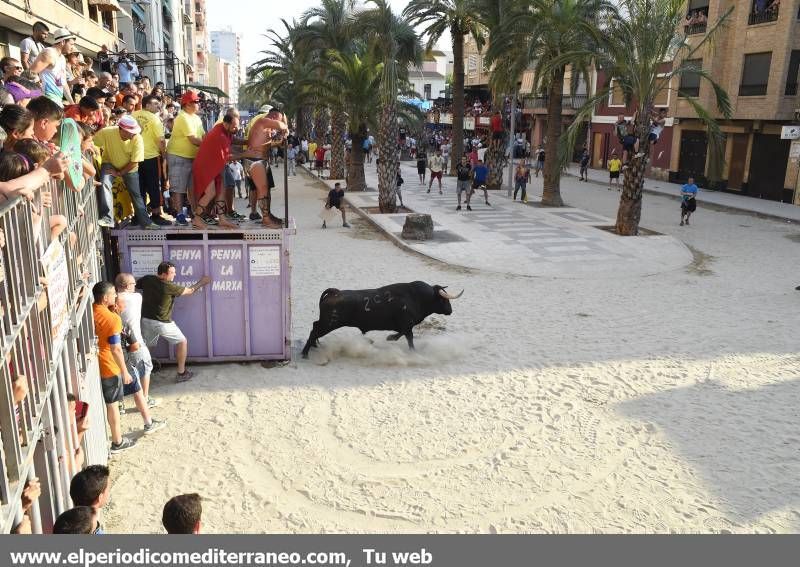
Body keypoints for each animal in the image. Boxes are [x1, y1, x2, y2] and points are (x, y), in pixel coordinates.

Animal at [300, 280, 462, 358]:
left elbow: (403, 334)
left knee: (314, 327)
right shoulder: (406, 324)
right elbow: (409, 337)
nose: (450, 311)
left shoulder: (404, 325)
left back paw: (312, 347)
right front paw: (412, 351)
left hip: (326, 323)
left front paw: (390, 338)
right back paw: (304, 353)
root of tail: (335, 292)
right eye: (444, 299)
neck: (417, 297)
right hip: (329, 323)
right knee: (314, 331)